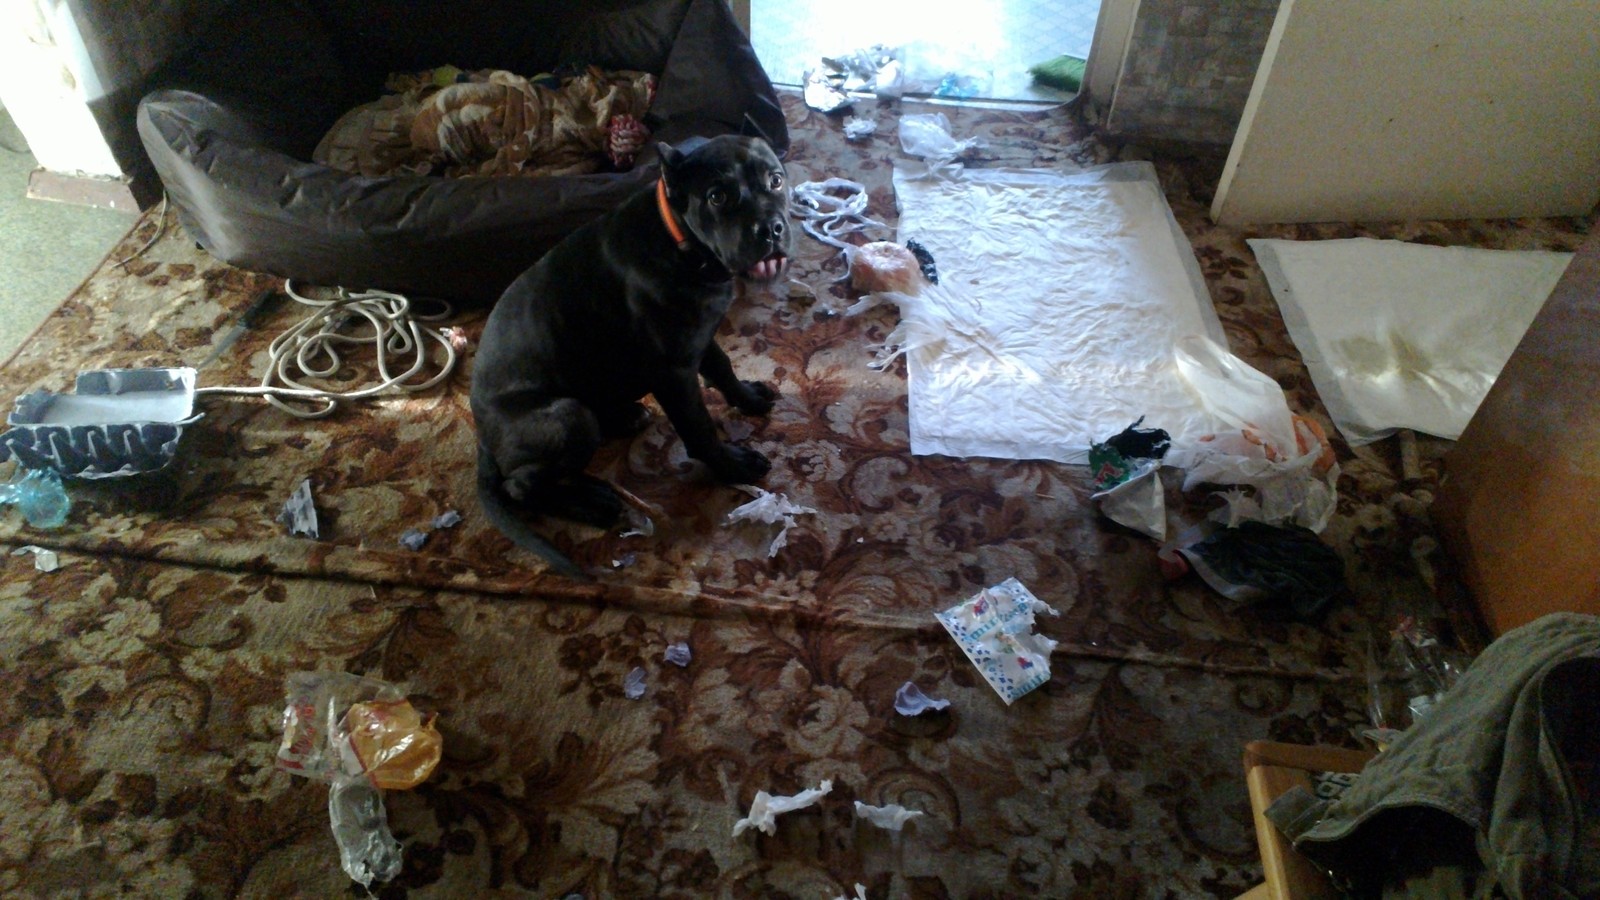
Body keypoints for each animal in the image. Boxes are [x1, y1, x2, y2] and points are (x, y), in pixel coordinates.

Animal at [471, 134, 792, 575]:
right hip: (569, 416)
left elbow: (722, 367)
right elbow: (699, 428)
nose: (771, 228)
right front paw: (732, 466)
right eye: (717, 196)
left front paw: (748, 398)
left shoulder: (699, 335)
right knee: (522, 485)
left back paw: (621, 427)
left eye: (776, 180)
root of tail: (482, 439)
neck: (681, 242)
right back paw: (593, 506)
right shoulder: (673, 373)